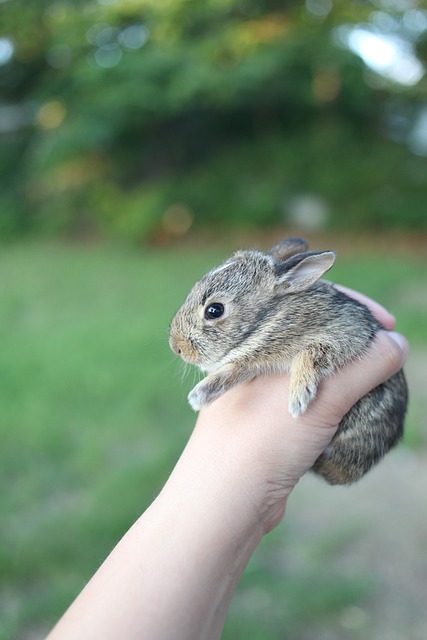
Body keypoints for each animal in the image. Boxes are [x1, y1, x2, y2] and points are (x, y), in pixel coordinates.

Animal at [170, 238, 408, 482]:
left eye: (214, 310)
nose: (176, 347)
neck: (270, 318)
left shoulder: (346, 332)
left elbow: (309, 355)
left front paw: (298, 399)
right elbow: (236, 369)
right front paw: (201, 394)